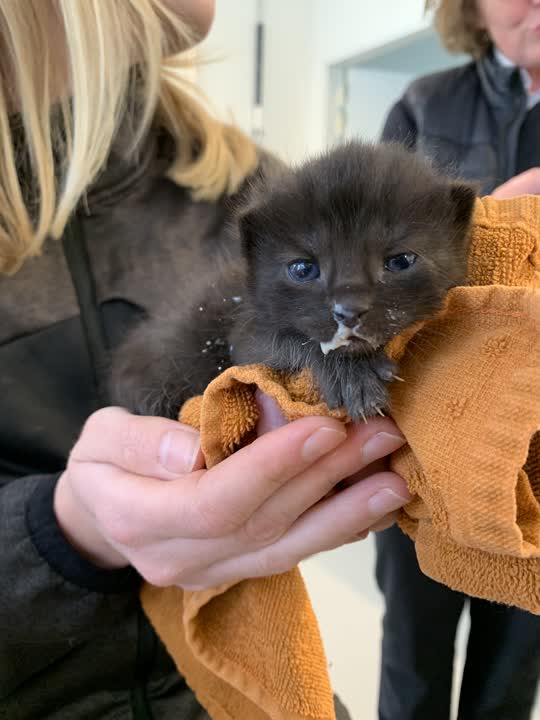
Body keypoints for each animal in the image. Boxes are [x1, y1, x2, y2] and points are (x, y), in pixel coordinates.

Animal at [110, 140, 476, 422]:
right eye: (303, 269)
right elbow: (285, 344)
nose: (349, 310)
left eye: (400, 261)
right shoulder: (244, 335)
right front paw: (352, 377)